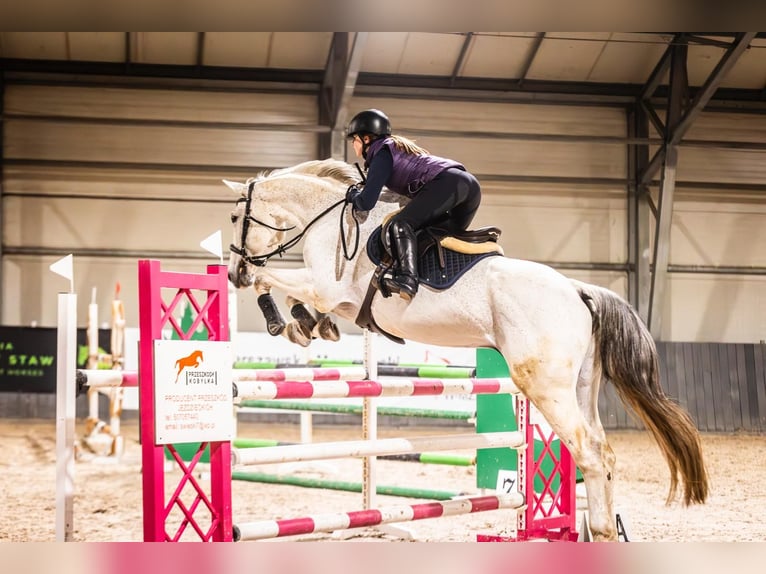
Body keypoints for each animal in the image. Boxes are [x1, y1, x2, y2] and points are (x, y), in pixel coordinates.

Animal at [225, 159, 712, 544]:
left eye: (234, 217)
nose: (232, 274)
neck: (328, 220)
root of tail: (577, 289)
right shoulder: (339, 299)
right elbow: (297, 298)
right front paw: (308, 326)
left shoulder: (328, 287)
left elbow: (276, 282)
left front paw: (284, 320)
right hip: (580, 386)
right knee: (602, 452)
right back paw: (605, 531)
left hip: (544, 386)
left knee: (589, 453)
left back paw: (601, 532)